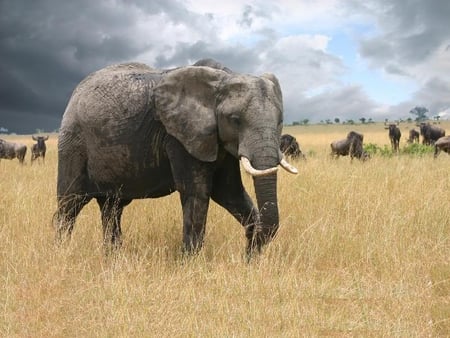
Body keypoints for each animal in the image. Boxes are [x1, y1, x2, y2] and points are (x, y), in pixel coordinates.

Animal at [53, 59, 298, 258]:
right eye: (235, 119)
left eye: (280, 121)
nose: (249, 254)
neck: (223, 77)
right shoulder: (178, 137)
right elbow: (197, 192)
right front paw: (190, 263)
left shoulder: (216, 139)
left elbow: (229, 192)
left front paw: (251, 261)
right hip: (73, 143)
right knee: (70, 204)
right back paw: (63, 253)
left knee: (111, 208)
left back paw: (113, 257)